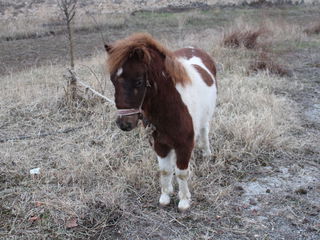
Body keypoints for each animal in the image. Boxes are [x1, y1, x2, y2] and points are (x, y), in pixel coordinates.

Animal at [105, 32, 218, 211]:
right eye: (112, 81)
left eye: (139, 81)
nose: (124, 124)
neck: (171, 107)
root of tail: (194, 48)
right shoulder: (159, 143)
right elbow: (165, 170)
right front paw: (165, 196)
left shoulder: (184, 145)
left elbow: (182, 173)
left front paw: (184, 201)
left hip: (206, 117)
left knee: (204, 130)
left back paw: (207, 153)